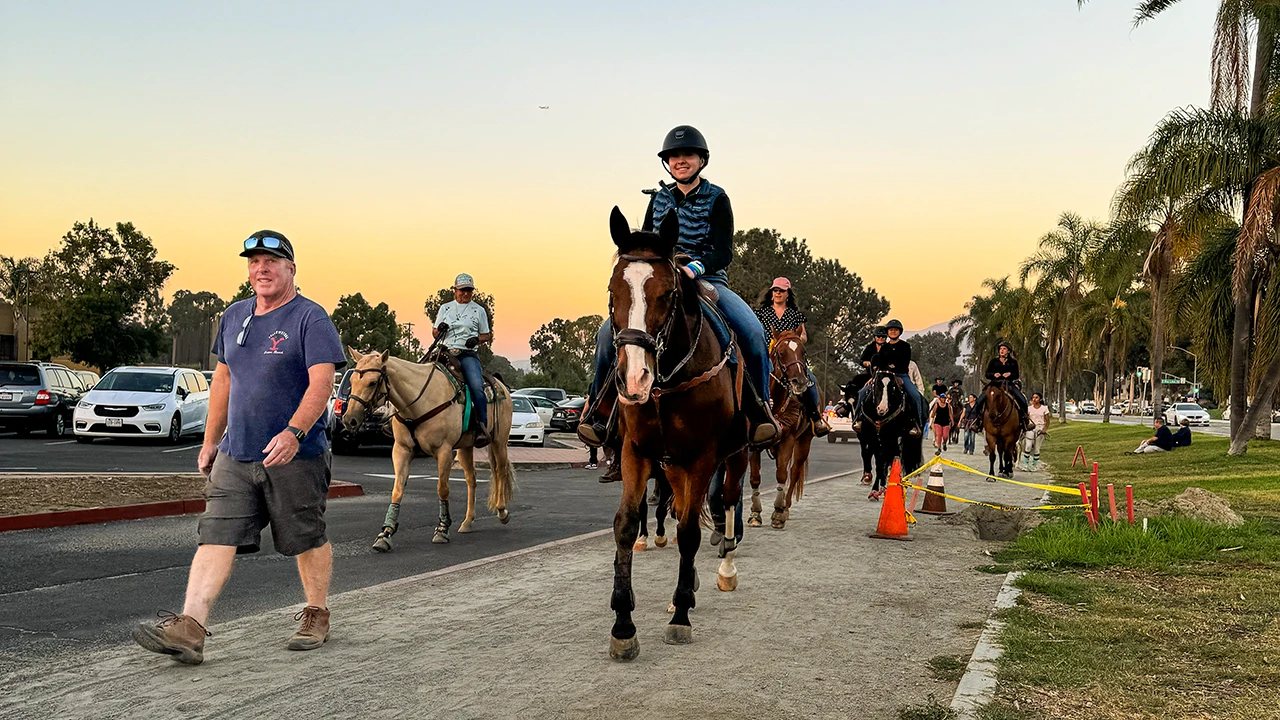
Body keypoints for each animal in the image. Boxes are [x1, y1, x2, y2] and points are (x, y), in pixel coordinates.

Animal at [345, 351, 519, 545]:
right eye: (351, 380)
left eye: (372, 382)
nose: (349, 419)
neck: (418, 403)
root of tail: (501, 385)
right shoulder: (401, 450)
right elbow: (397, 490)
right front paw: (385, 534)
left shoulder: (444, 451)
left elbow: (442, 488)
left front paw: (442, 529)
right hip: (465, 447)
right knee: (471, 479)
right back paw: (467, 521)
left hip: (499, 441)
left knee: (500, 471)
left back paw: (502, 511)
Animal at [606, 204, 752, 661]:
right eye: (612, 292)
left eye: (668, 294)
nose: (634, 379)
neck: (669, 381)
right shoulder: (637, 451)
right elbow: (625, 524)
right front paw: (623, 625)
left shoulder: (704, 456)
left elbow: (689, 531)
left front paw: (681, 617)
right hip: (671, 465)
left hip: (735, 457)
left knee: (726, 503)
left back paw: (722, 571)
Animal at [747, 330, 819, 527]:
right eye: (781, 353)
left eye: (803, 352)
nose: (799, 382)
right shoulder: (754, 445)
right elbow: (755, 477)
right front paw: (755, 514)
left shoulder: (788, 440)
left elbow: (781, 474)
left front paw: (778, 513)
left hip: (804, 442)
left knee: (793, 472)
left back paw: (785, 507)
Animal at [849, 366, 921, 497]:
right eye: (876, 384)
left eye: (893, 386)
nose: (882, 409)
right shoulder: (869, 436)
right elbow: (873, 458)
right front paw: (872, 484)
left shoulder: (889, 437)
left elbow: (882, 460)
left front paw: (879, 488)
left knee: (895, 455)